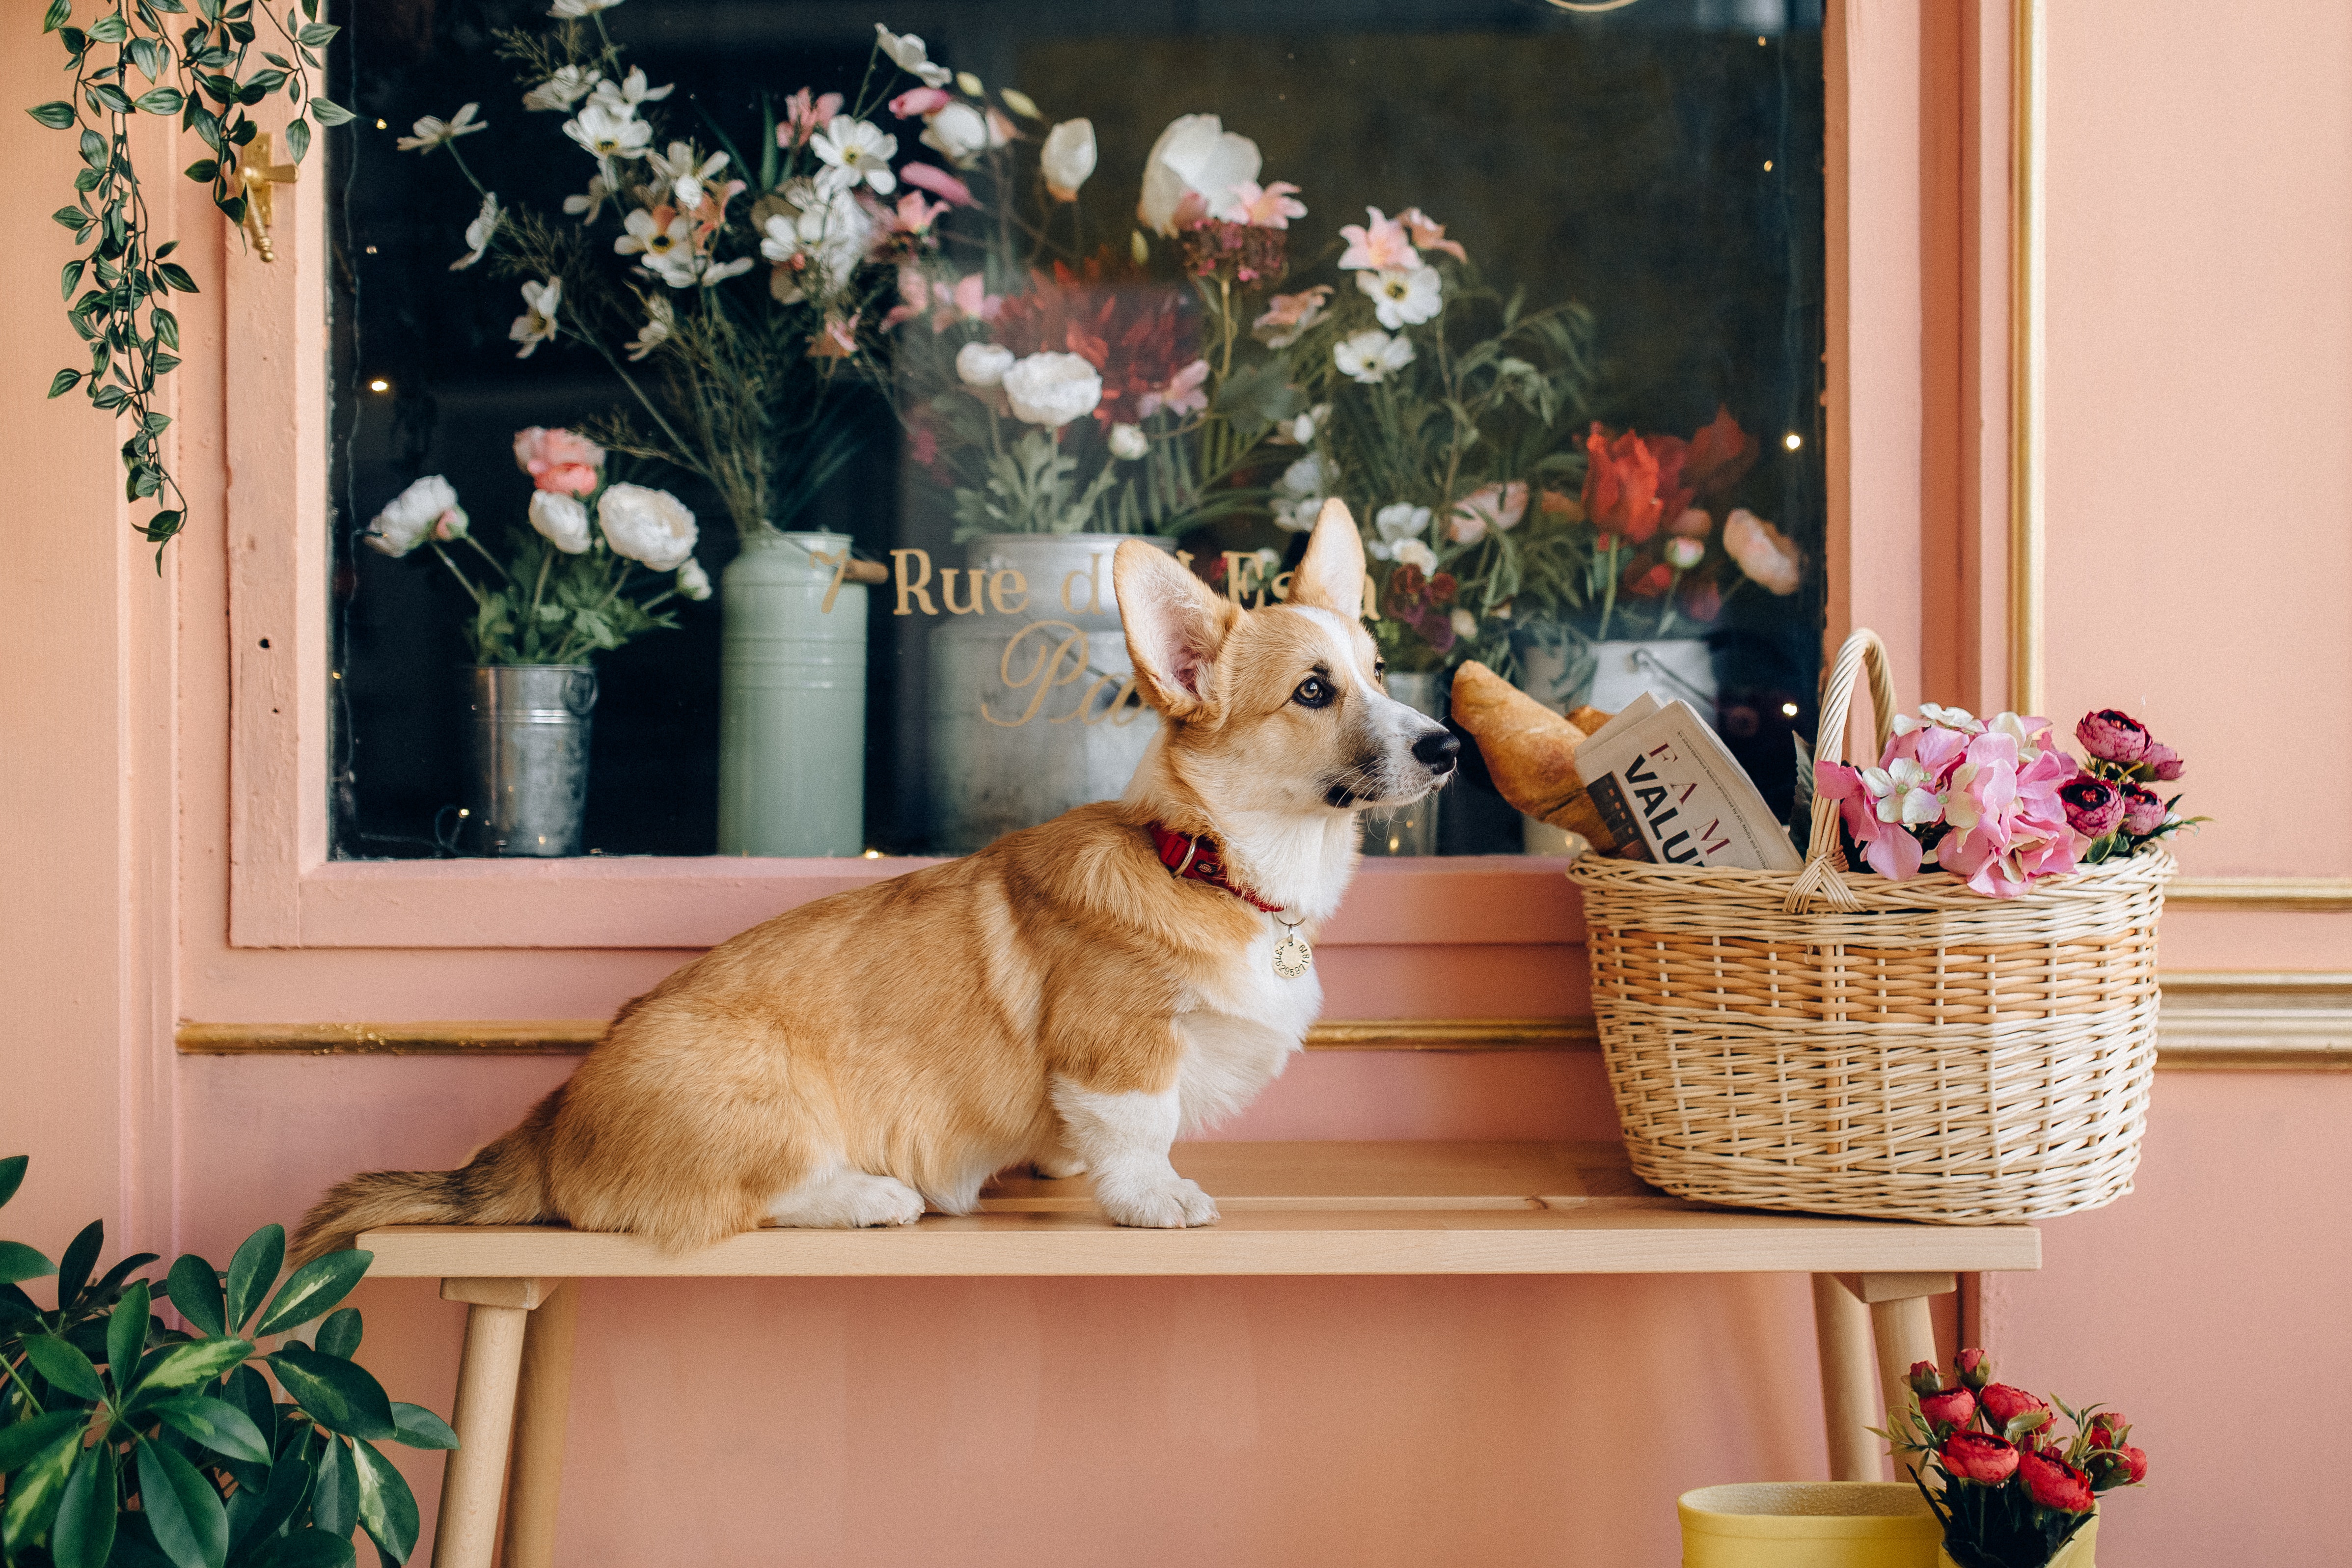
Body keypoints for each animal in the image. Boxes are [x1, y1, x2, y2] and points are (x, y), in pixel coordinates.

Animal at [291, 503, 1449, 1260]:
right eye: (1314, 691)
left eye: (1378, 671)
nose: (1444, 747)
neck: (1210, 856)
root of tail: (547, 1122)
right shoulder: (1119, 1045)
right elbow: (1138, 1130)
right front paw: (1153, 1198)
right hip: (765, 1090)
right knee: (750, 1199)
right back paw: (871, 1197)